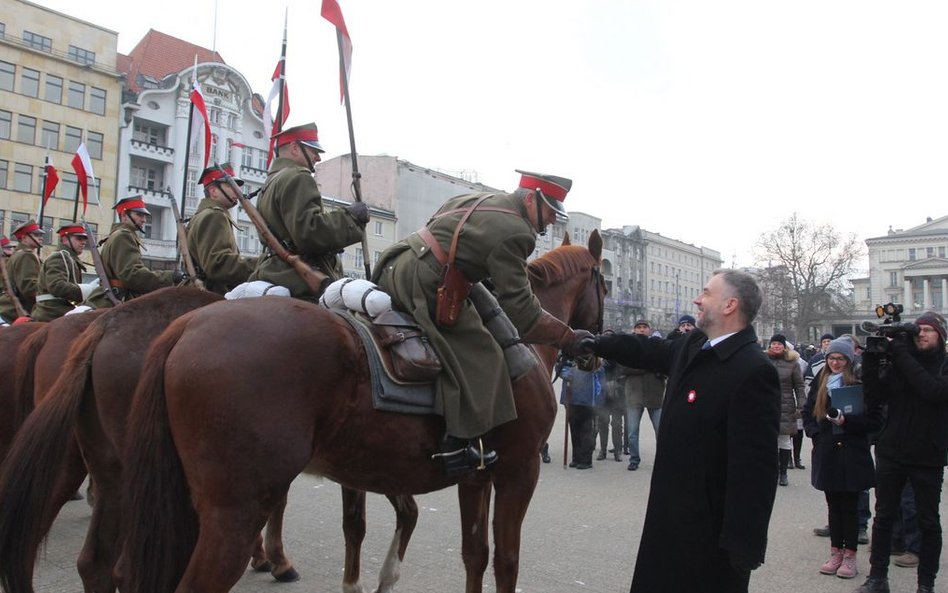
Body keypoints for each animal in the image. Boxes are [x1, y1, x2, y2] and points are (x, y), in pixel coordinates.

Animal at [120, 230, 608, 592]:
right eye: (605, 284)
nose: (593, 350)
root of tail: (187, 325)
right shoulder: (519, 471)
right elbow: (506, 562)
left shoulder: (477, 475)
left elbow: (475, 555)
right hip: (234, 512)